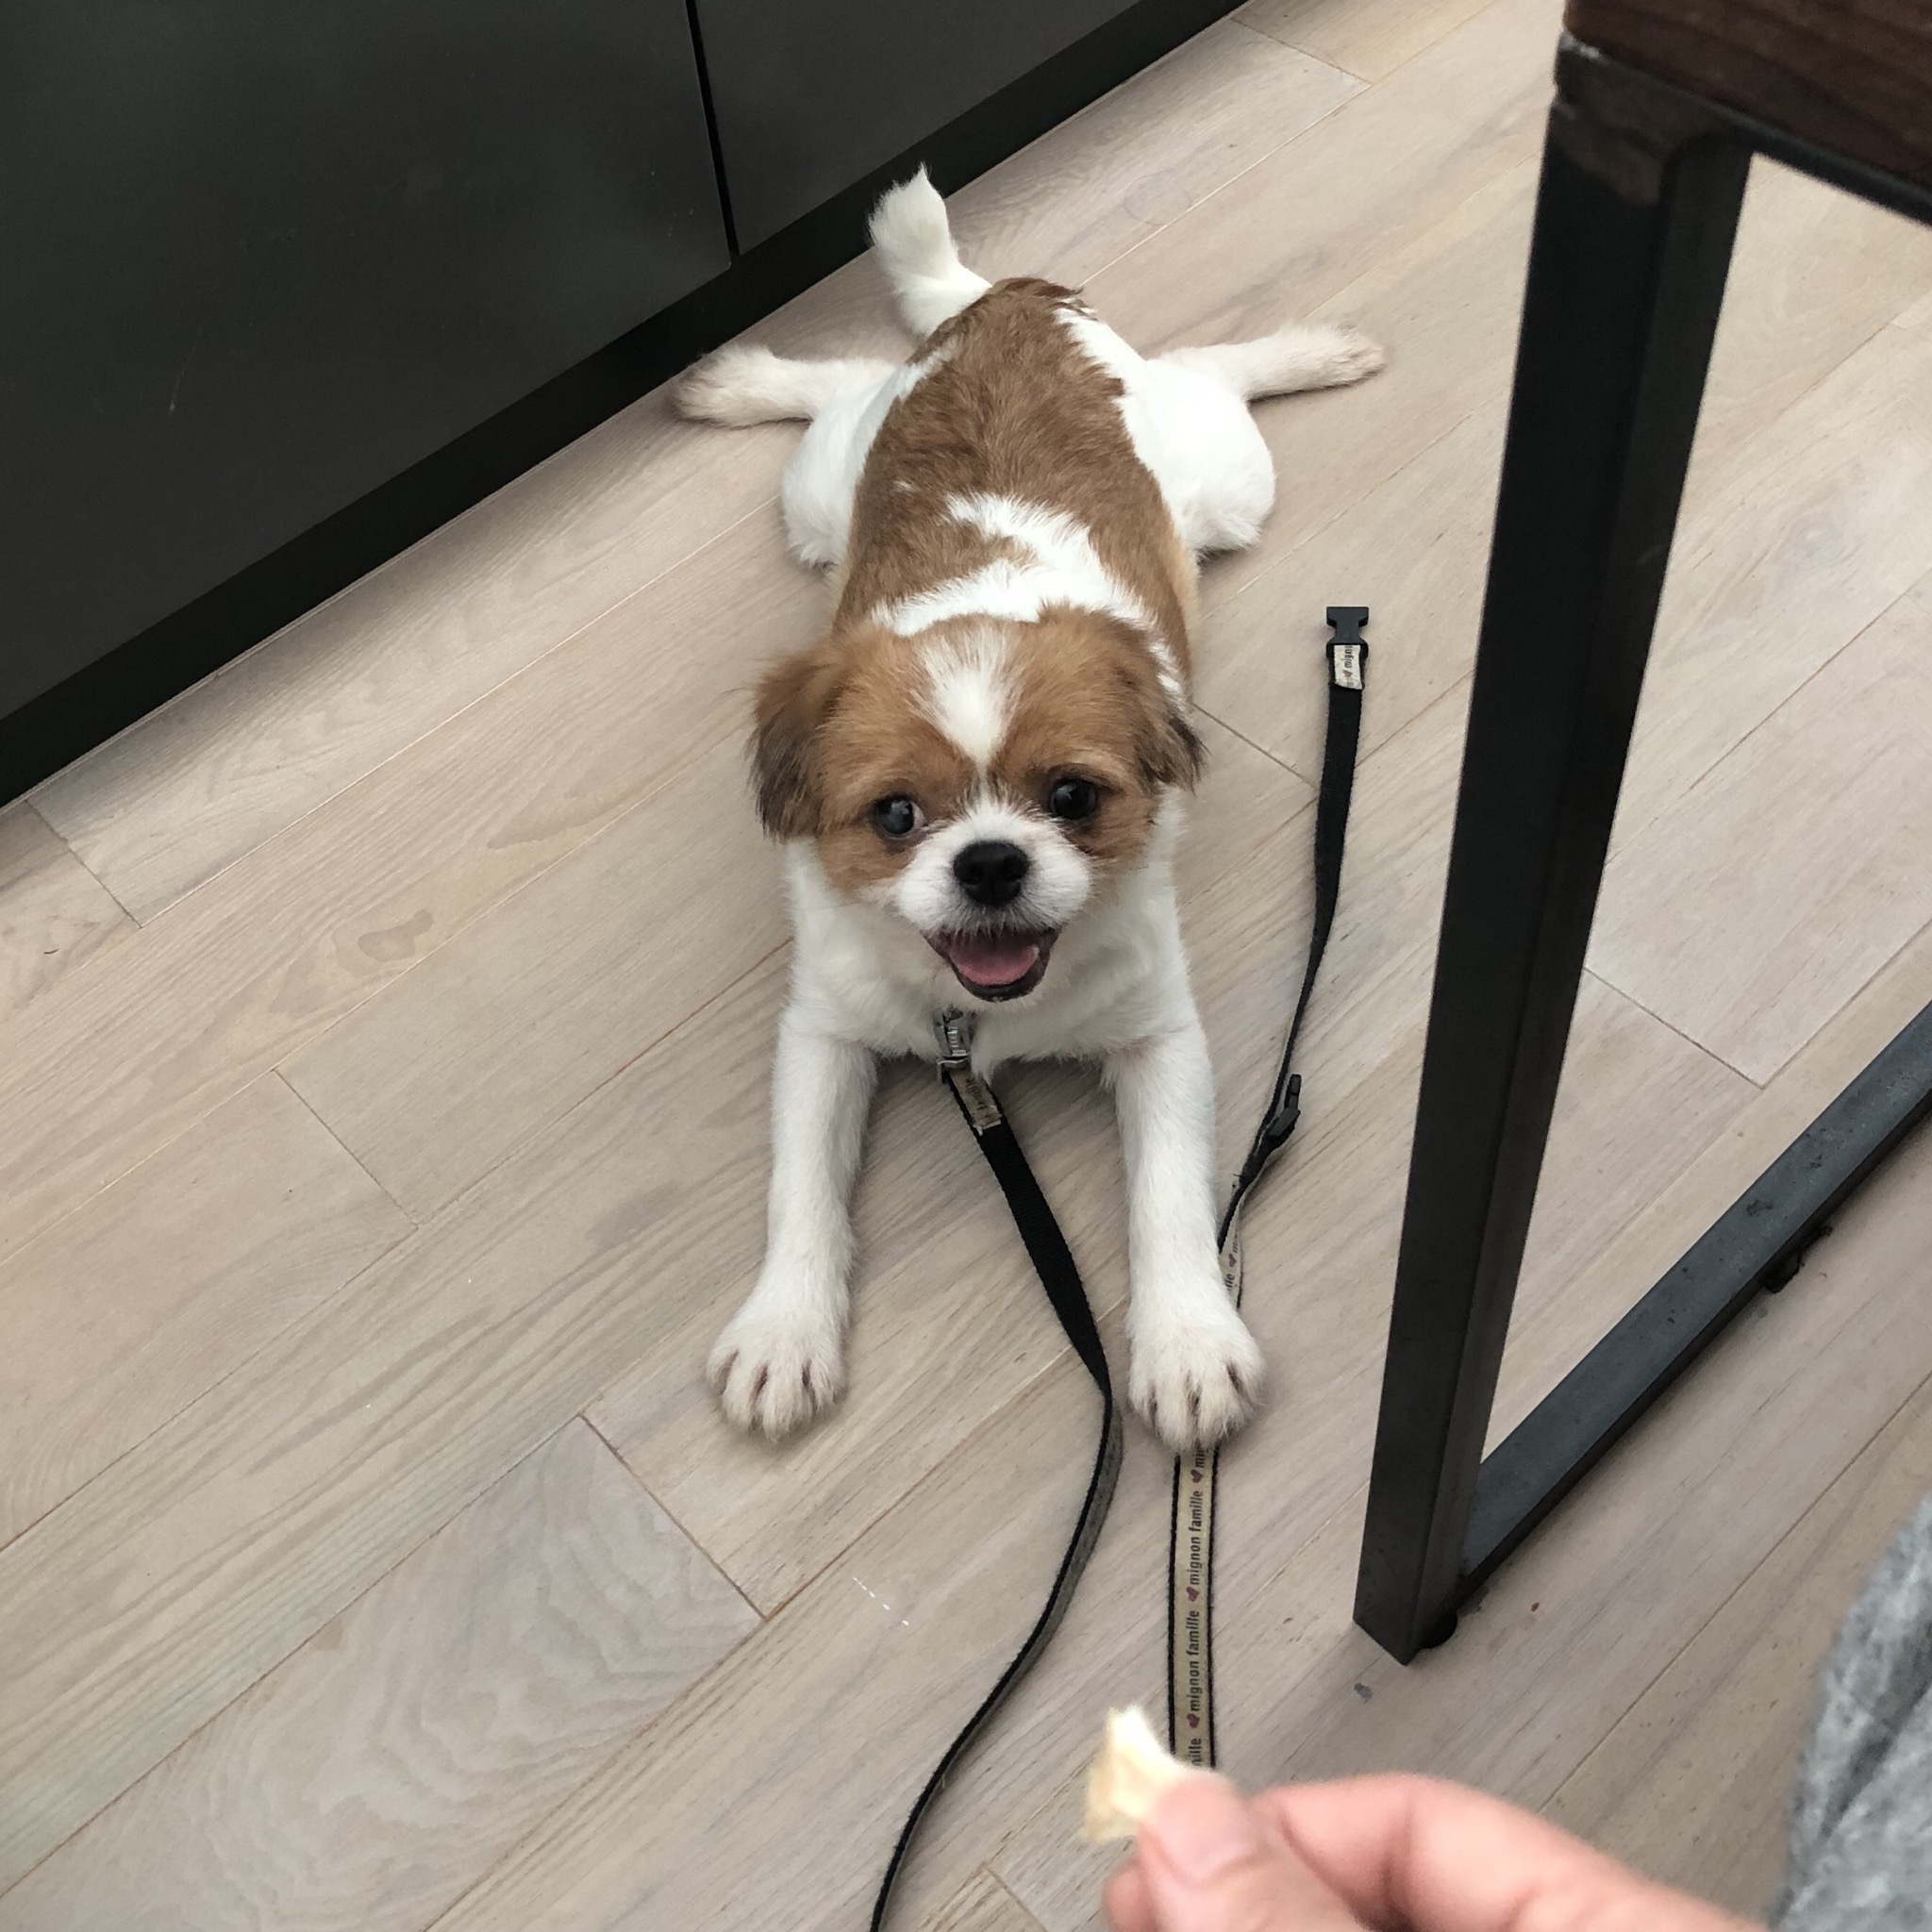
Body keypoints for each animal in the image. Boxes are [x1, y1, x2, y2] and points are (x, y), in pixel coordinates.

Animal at [676, 171, 1380, 1451]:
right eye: (894, 814)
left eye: (1070, 797)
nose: (992, 862)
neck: (981, 1011)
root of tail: (1010, 302)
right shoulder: (824, 1038)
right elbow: (799, 1190)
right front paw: (785, 1325)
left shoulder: (1159, 1041)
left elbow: (1168, 1196)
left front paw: (1186, 1338)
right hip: (819, 496)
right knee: (837, 386)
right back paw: (744, 378)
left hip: (1228, 483)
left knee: (1211, 366)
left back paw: (1303, 351)